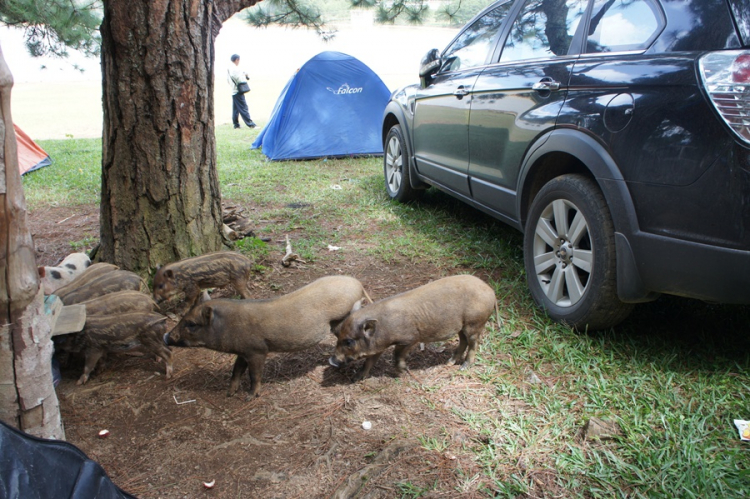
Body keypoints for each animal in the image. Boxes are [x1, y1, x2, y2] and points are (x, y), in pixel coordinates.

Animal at [167, 274, 374, 398]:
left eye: (192, 324)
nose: (166, 337)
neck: (228, 325)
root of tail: (358, 284)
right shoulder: (243, 351)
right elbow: (236, 370)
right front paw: (229, 393)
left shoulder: (257, 351)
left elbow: (254, 375)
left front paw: (250, 397)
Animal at [330, 276, 496, 380]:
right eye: (337, 335)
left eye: (349, 342)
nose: (331, 361)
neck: (383, 328)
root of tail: (491, 292)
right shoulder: (378, 346)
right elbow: (369, 361)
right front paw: (356, 378)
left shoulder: (410, 339)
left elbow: (397, 355)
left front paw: (402, 372)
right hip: (462, 327)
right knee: (463, 341)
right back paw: (449, 362)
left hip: (474, 323)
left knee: (473, 343)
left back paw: (463, 367)